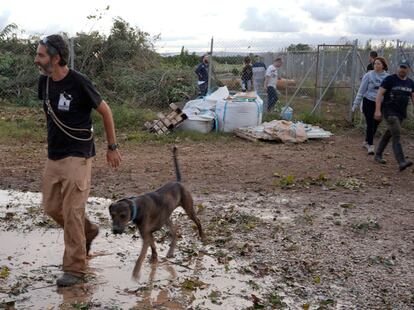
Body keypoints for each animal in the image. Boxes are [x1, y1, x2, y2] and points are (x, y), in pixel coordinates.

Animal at [108, 147, 205, 278]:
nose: (115, 230)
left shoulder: (147, 233)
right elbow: (153, 246)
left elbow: (142, 254)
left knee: (197, 221)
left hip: (189, 209)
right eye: (112, 215)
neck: (136, 207)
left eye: (123, 215)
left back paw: (202, 236)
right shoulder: (146, 233)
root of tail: (178, 182)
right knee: (175, 231)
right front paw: (154, 259)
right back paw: (171, 251)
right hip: (167, 217)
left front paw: (136, 271)